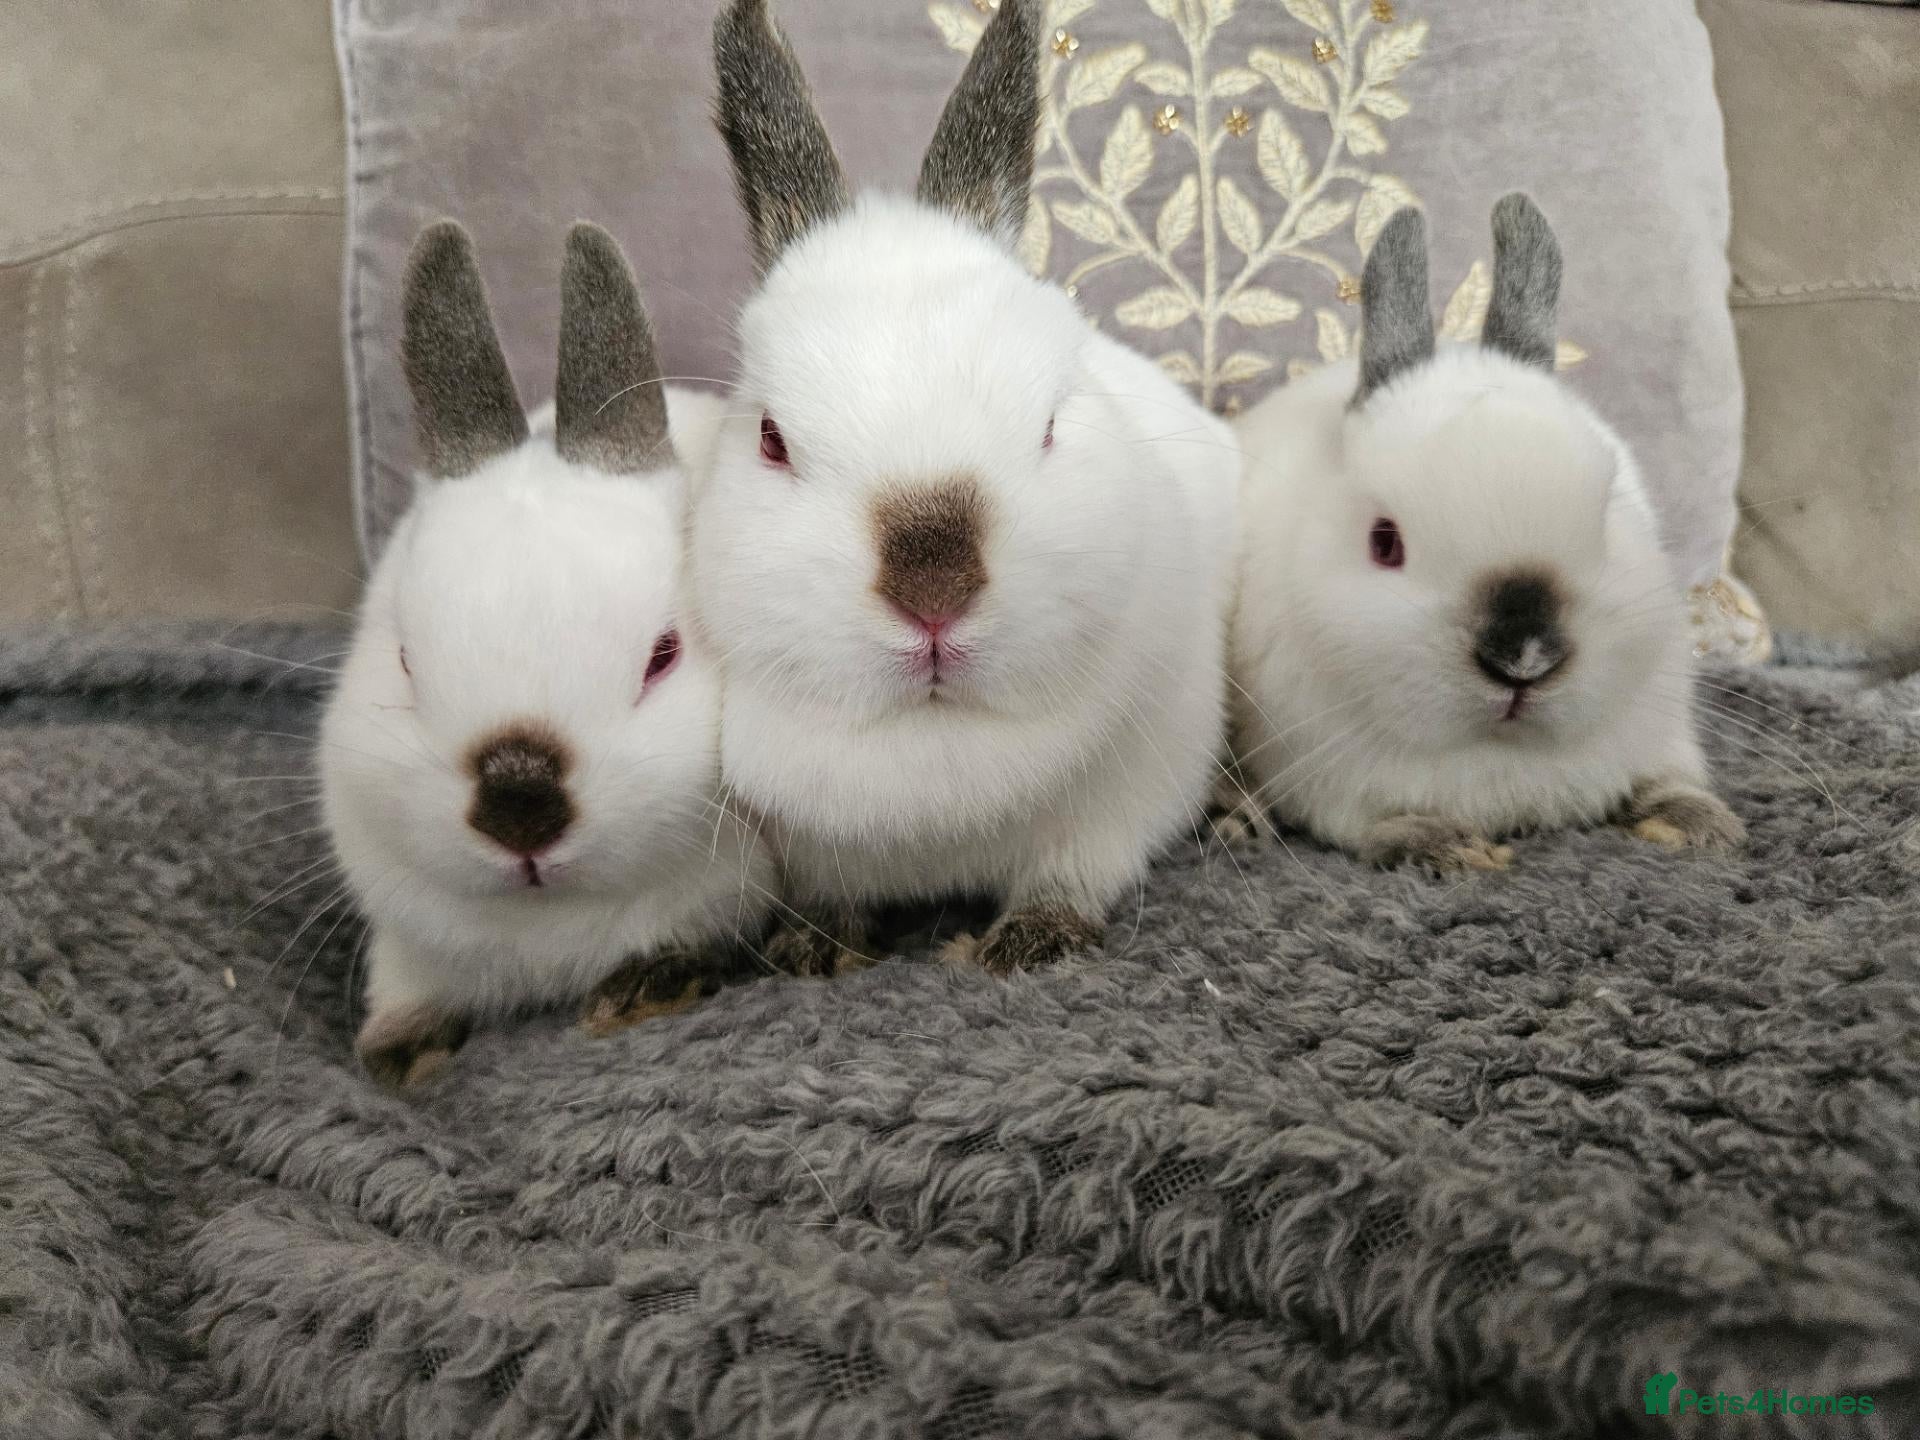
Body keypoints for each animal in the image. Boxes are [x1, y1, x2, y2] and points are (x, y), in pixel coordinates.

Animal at [321, 219, 775, 1085]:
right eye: (404, 662)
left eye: (663, 657)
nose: (520, 804)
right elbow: (405, 986)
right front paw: (402, 1052)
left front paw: (639, 995)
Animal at [687, 0, 1239, 976]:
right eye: (771, 439)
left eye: (1050, 424)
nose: (934, 591)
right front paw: (815, 947)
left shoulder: (1120, 800)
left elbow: (1072, 872)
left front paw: (1033, 942)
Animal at [1220, 195, 1743, 873]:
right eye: (1384, 542)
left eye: (1607, 515)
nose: (1523, 657)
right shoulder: (1326, 773)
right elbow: (1372, 824)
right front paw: (1448, 847)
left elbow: (1663, 780)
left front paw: (1698, 824)